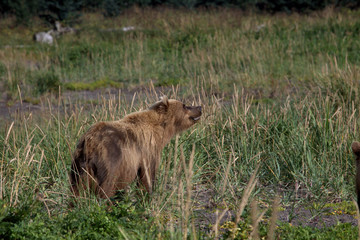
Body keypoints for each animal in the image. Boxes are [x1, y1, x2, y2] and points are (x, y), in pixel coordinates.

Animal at [69, 96, 201, 198]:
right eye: (184, 105)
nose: (199, 107)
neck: (160, 131)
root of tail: (89, 142)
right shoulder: (147, 149)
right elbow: (147, 174)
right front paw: (147, 196)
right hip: (110, 159)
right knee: (107, 185)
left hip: (79, 164)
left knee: (76, 189)